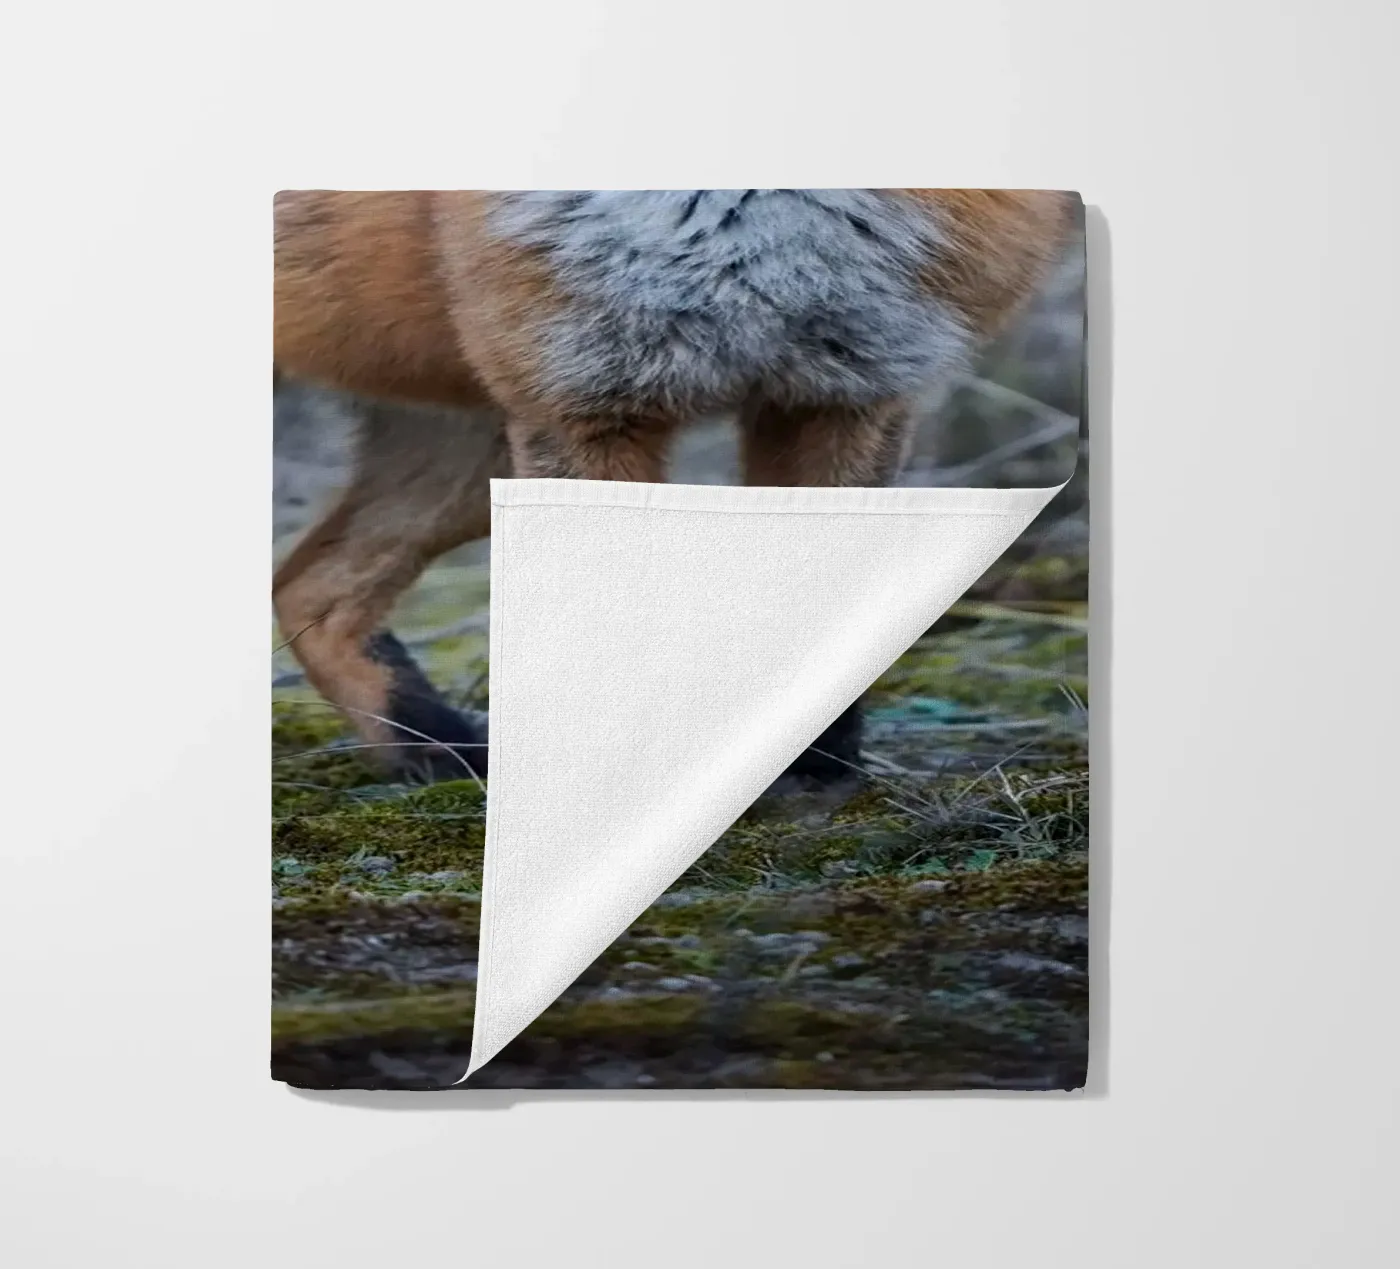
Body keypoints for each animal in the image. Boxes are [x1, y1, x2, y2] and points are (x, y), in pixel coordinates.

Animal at [273, 189, 1078, 784]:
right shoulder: (582, 401)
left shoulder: (847, 392)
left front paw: (807, 776)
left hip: (473, 450)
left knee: (306, 590)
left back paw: (433, 751)